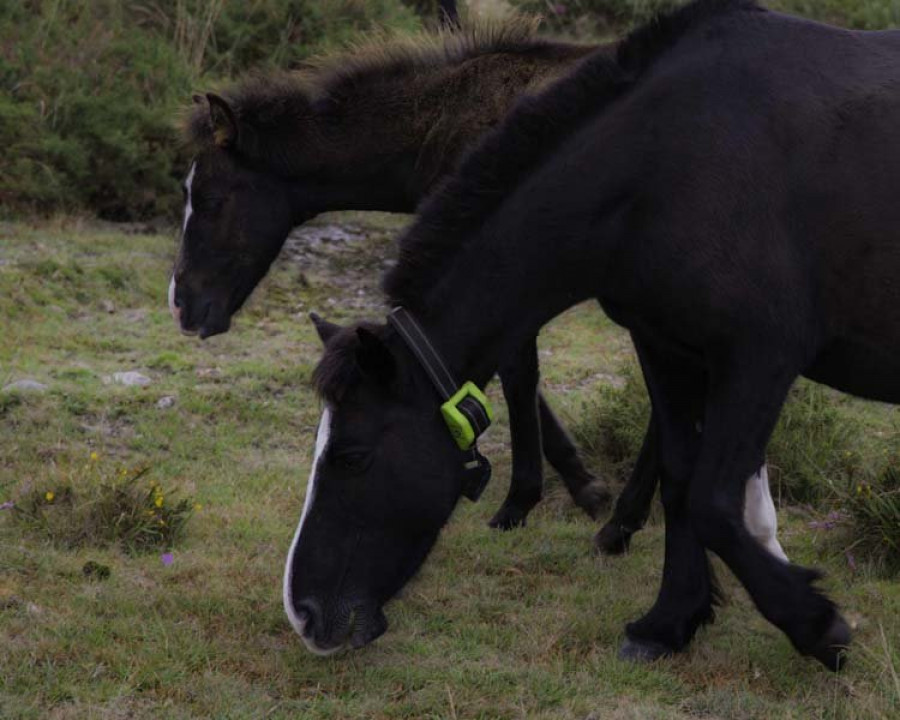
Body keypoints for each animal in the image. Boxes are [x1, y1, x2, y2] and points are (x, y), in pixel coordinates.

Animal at [290, 0, 900, 668]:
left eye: (352, 457)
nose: (304, 613)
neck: (671, 162)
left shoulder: (759, 358)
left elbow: (714, 502)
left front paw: (817, 625)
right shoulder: (669, 347)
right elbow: (682, 483)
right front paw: (669, 622)